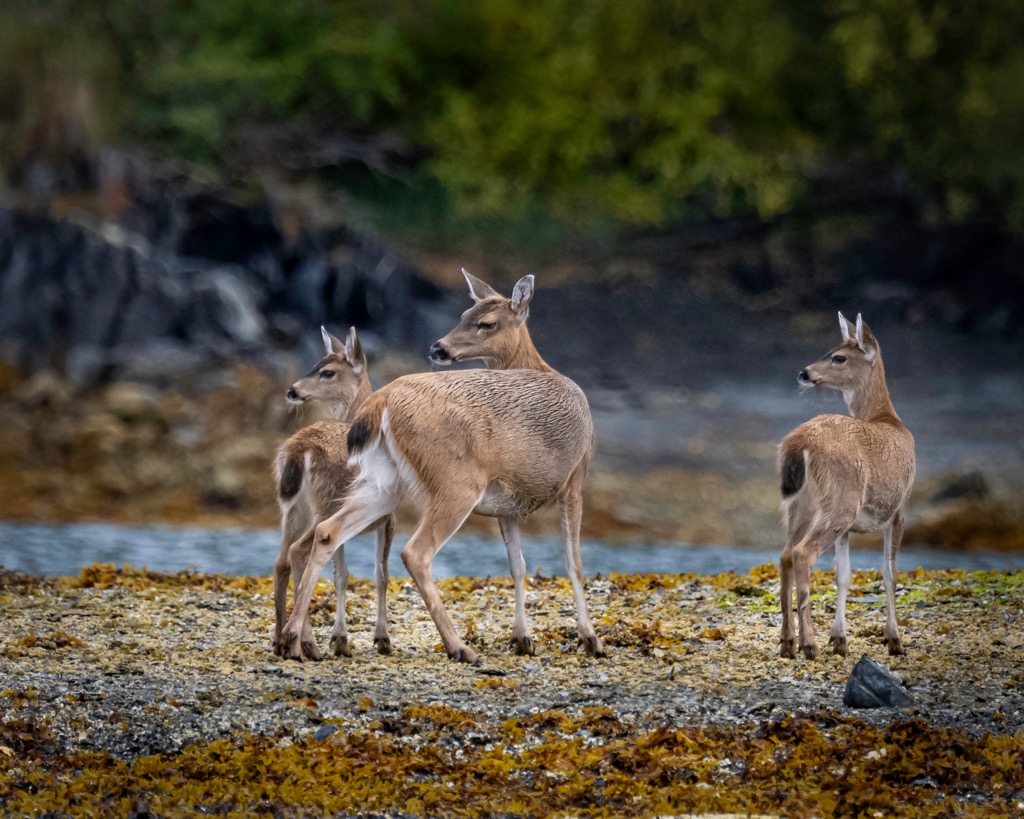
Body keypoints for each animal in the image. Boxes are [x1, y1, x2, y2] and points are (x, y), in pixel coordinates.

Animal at [272, 326, 395, 659]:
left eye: (327, 371)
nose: (292, 390)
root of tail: (299, 448)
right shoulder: (388, 517)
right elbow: (380, 574)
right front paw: (382, 638)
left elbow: (342, 575)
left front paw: (340, 639)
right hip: (327, 502)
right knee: (297, 552)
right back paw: (302, 643)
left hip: (292, 508)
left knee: (282, 559)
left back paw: (279, 640)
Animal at [778, 312, 915, 661]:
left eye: (838, 356)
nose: (804, 372)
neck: (888, 418)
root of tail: (800, 442)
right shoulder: (899, 508)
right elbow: (890, 574)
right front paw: (895, 640)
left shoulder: (851, 528)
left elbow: (844, 576)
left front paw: (840, 639)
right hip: (841, 500)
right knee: (802, 553)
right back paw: (808, 644)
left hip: (799, 504)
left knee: (785, 554)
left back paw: (787, 643)